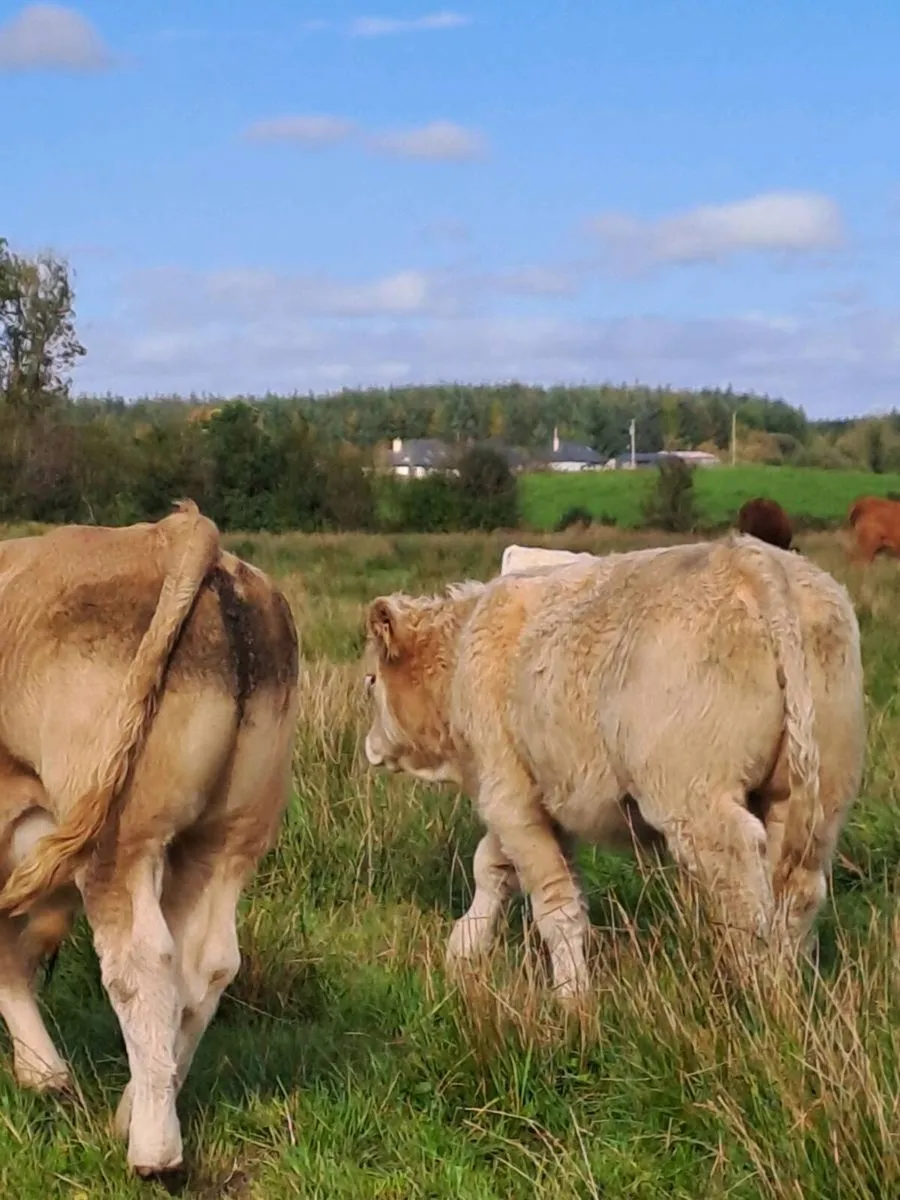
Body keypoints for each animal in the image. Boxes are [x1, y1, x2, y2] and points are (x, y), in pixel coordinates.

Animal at [0, 501, 299, 1179]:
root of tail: (177, 535)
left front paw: (41, 1072)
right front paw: (41, 1074)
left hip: (122, 838)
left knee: (142, 962)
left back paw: (154, 1149)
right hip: (228, 834)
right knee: (206, 964)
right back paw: (133, 1110)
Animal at [363, 536, 865, 1000]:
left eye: (370, 680)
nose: (370, 746)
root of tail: (748, 555)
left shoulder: (508, 798)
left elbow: (554, 904)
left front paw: (571, 998)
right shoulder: (543, 799)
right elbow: (492, 869)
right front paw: (463, 949)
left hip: (697, 803)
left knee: (744, 892)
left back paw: (757, 990)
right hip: (814, 797)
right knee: (797, 891)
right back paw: (788, 990)